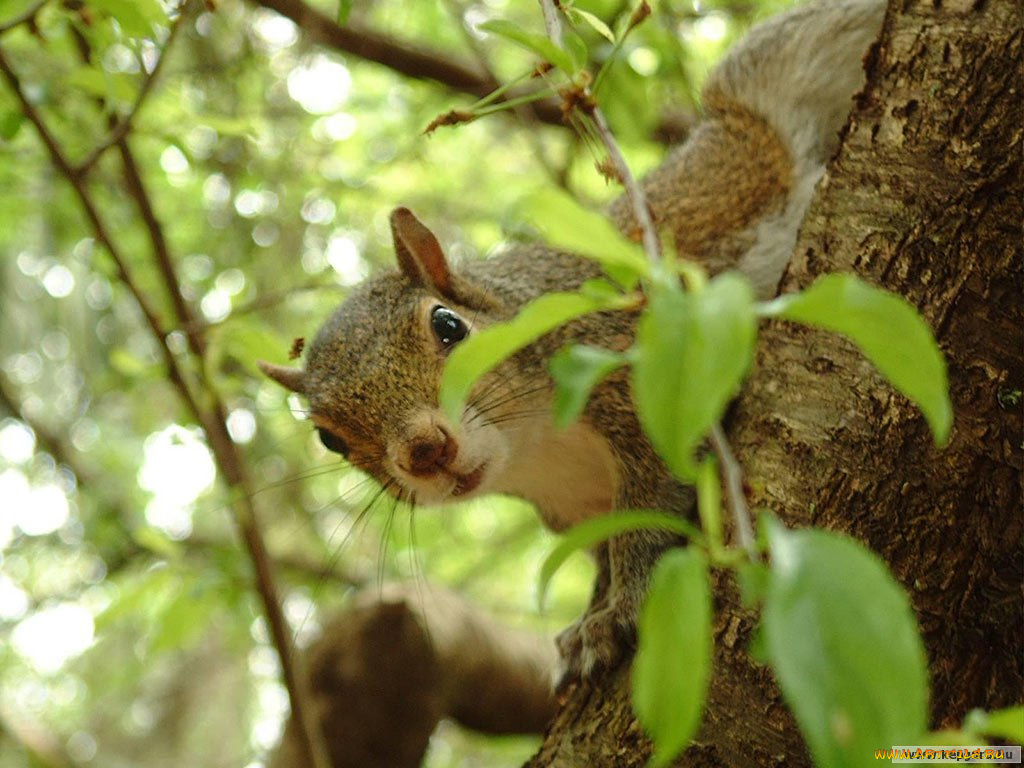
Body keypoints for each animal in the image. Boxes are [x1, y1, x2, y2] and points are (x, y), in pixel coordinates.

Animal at [260, 0, 884, 675]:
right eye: (330, 439)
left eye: (448, 325)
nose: (425, 450)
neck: (539, 448)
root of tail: (743, 131)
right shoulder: (574, 509)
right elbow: (604, 550)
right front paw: (590, 619)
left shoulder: (629, 371)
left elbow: (647, 515)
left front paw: (621, 608)